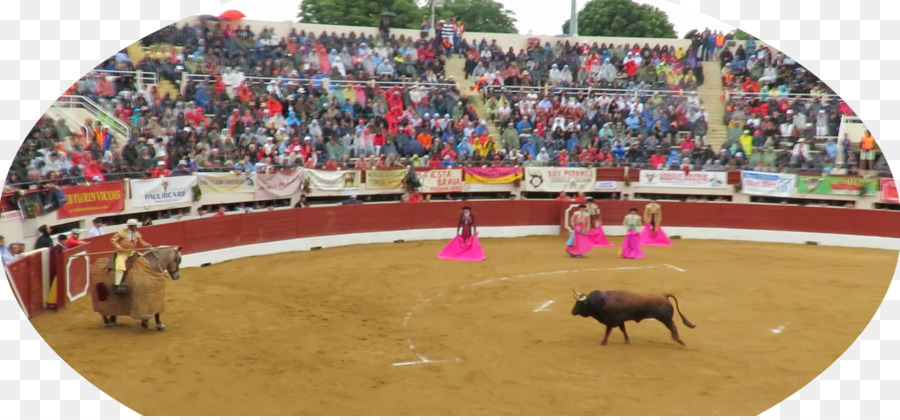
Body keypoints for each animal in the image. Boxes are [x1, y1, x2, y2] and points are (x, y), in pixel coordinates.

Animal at [568, 290, 696, 346]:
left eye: (579, 303)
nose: (572, 312)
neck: (602, 301)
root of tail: (664, 295)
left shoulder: (611, 321)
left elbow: (607, 332)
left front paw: (603, 342)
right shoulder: (619, 321)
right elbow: (623, 330)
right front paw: (627, 340)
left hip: (666, 319)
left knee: (673, 327)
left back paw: (680, 341)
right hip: (666, 320)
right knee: (673, 327)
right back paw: (676, 339)